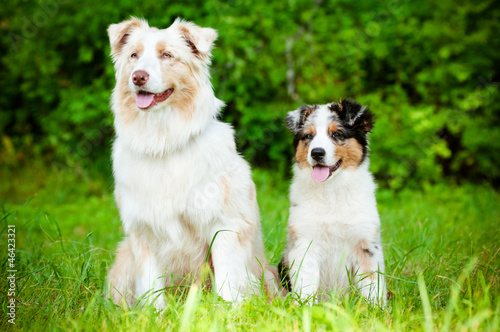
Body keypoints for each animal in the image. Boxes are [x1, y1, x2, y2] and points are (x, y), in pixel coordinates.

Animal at [105, 17, 280, 308]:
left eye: (167, 55)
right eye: (134, 55)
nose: (138, 76)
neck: (163, 143)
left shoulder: (224, 225)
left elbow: (228, 281)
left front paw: (227, 311)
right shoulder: (143, 232)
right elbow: (152, 288)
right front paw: (155, 314)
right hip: (124, 258)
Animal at [282, 99, 386, 306]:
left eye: (336, 134)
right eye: (308, 136)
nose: (317, 153)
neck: (331, 191)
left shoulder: (367, 245)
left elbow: (373, 285)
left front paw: (376, 310)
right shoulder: (304, 244)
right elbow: (305, 285)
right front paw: (304, 309)